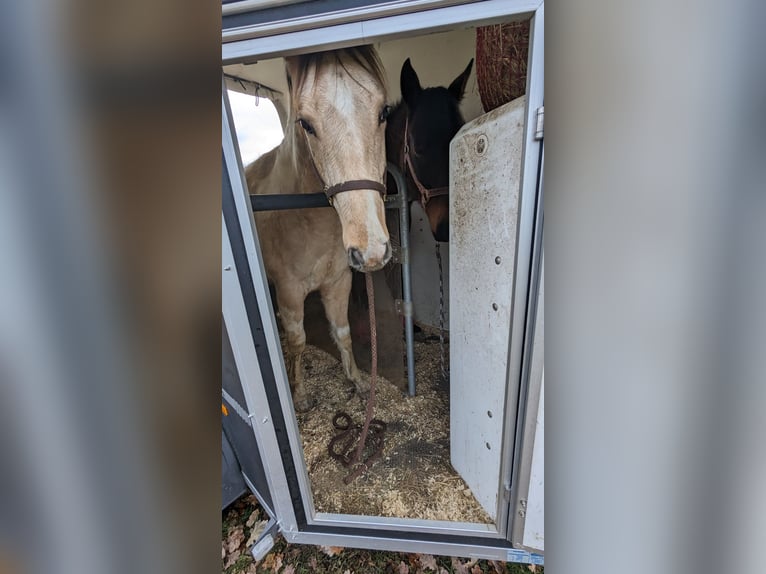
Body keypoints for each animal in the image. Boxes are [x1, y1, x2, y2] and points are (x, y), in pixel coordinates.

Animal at [246, 47, 390, 412]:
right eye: (306, 123)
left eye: (384, 111)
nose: (370, 249)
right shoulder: (289, 291)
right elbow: (297, 340)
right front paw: (299, 395)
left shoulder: (339, 282)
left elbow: (342, 331)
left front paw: (357, 379)